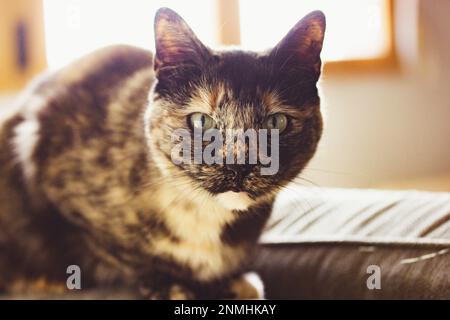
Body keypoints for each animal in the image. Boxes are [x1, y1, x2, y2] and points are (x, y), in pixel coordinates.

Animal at [0, 6, 326, 298]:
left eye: (277, 122)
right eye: (201, 120)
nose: (239, 165)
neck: (204, 215)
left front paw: (230, 283)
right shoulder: (37, 149)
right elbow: (126, 257)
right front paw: (172, 286)